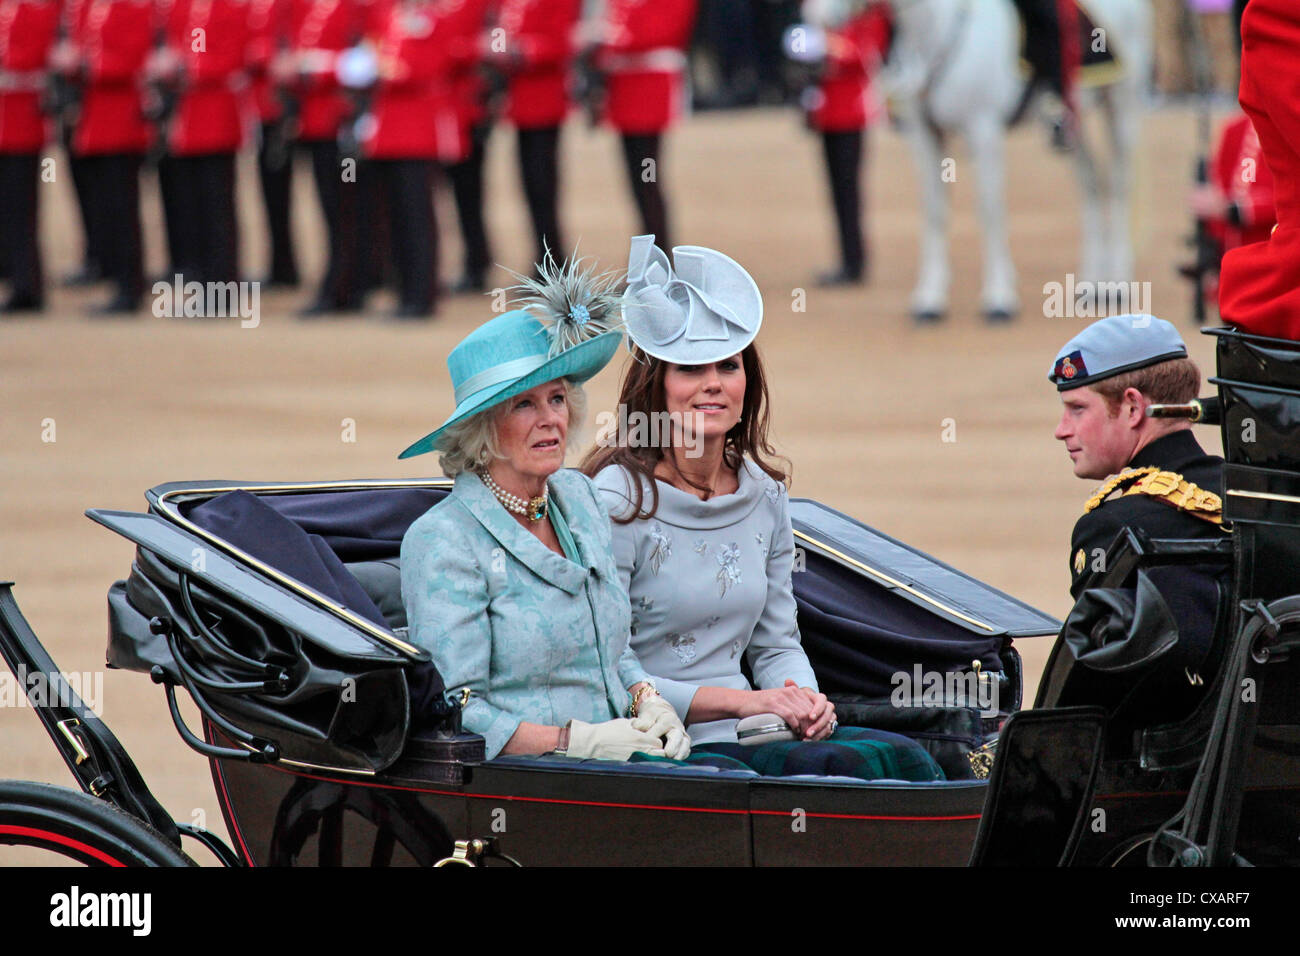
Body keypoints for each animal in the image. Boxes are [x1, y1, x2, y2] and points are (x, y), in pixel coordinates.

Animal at [878, 0, 1154, 321]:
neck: (938, 34)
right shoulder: (924, 136)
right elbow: (934, 212)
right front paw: (930, 296)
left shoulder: (983, 129)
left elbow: (990, 210)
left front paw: (999, 296)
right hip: (1076, 124)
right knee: (1092, 184)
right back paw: (1093, 285)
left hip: (1122, 105)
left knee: (1121, 185)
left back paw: (1119, 284)